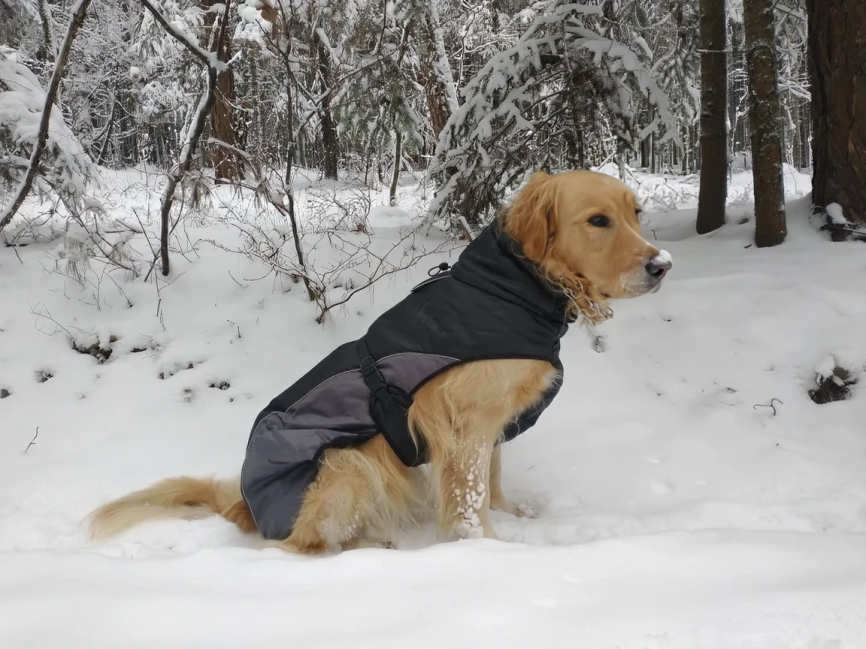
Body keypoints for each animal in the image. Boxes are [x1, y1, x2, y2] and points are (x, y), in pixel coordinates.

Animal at [86, 170, 668, 556]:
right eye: (598, 221)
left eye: (636, 214)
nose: (661, 265)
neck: (509, 287)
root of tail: (244, 507)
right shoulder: (465, 425)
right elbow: (469, 497)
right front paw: (486, 551)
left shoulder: (491, 423)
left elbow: (493, 479)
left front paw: (510, 515)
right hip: (348, 465)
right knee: (305, 547)